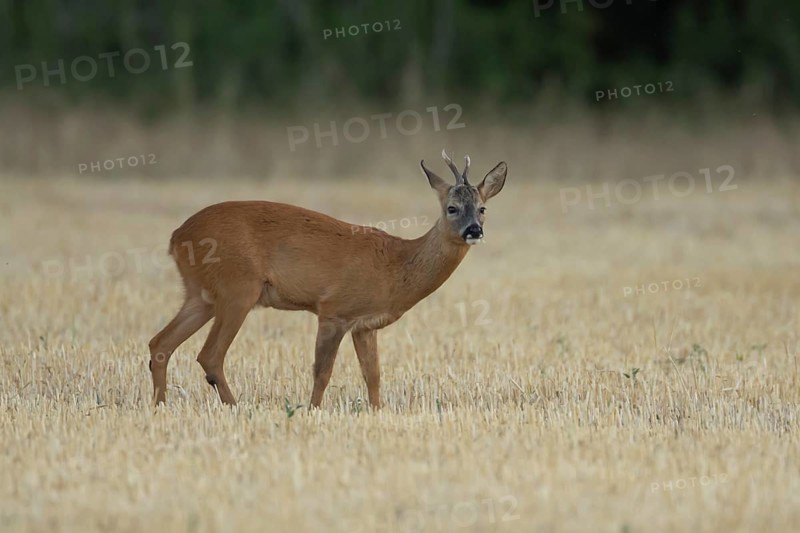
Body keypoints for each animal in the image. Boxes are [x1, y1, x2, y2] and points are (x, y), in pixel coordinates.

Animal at [148, 150, 507, 409]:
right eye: (451, 208)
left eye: (483, 208)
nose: (474, 230)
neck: (396, 266)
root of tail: (177, 236)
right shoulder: (334, 309)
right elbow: (322, 372)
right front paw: (313, 410)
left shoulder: (365, 325)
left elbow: (373, 375)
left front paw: (377, 412)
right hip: (238, 287)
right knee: (209, 355)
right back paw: (234, 407)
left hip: (201, 294)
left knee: (160, 344)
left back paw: (160, 406)